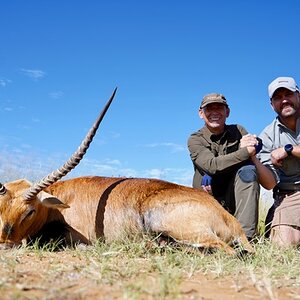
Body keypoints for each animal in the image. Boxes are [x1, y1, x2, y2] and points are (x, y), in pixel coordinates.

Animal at [0, 88, 253, 254]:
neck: (64, 198)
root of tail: (231, 221)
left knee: (226, 251)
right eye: (1, 207)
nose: (5, 244)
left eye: (30, 211)